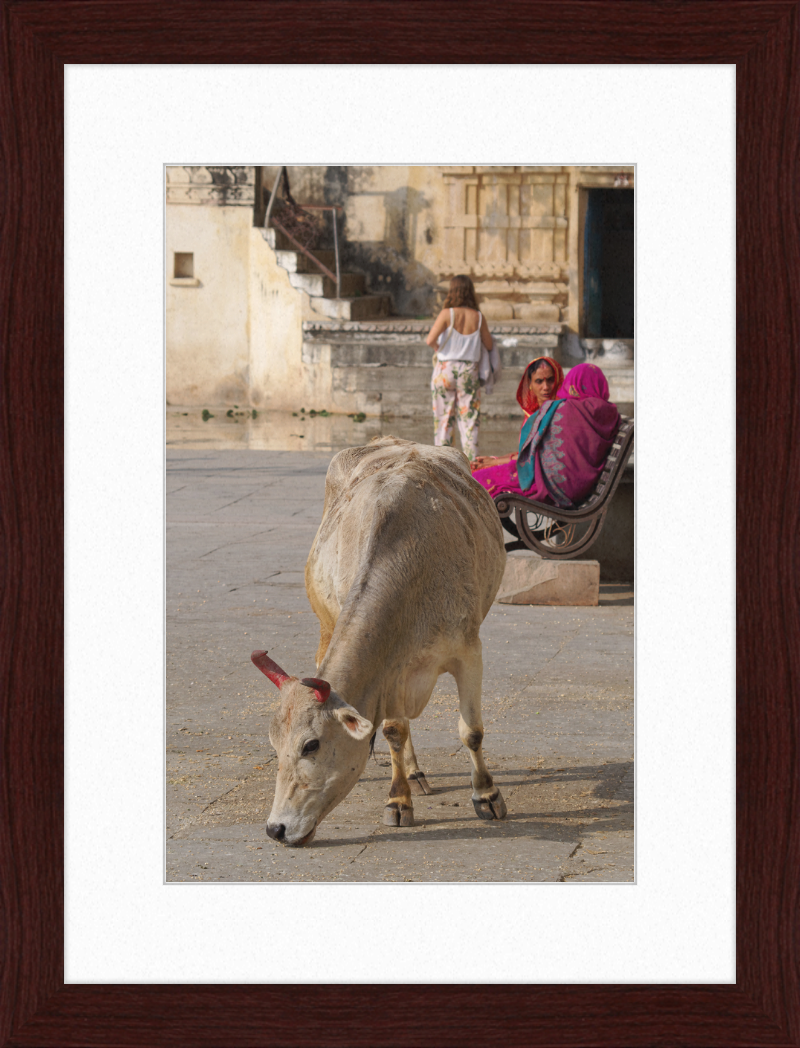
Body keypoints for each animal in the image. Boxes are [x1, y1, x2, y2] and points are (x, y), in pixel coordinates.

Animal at [251, 433, 507, 842]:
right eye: (274, 743)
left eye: (311, 744)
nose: (276, 828)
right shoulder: (389, 669)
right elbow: (393, 730)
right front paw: (398, 800)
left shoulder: (469, 651)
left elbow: (472, 731)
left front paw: (486, 795)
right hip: (327, 625)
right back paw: (412, 774)